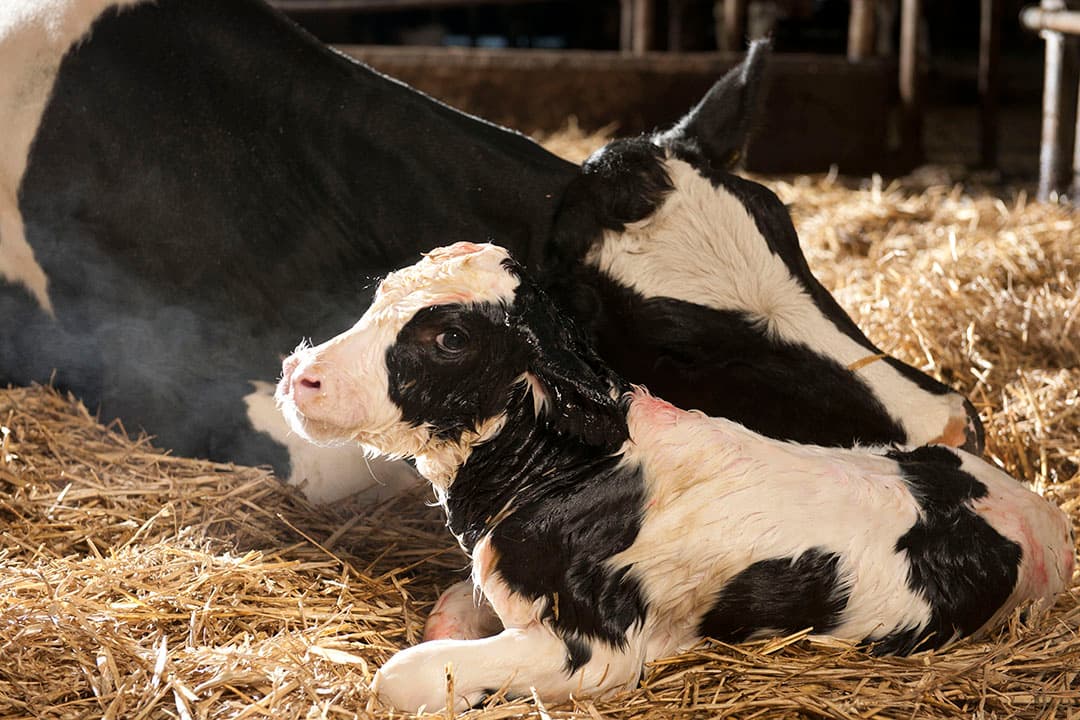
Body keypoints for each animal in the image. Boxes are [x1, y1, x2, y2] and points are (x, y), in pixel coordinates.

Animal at [276, 242, 1074, 713]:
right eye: (380, 295)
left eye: (449, 337)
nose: (299, 374)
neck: (569, 470)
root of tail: (1041, 512)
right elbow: (448, 614)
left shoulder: (598, 653)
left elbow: (402, 673)